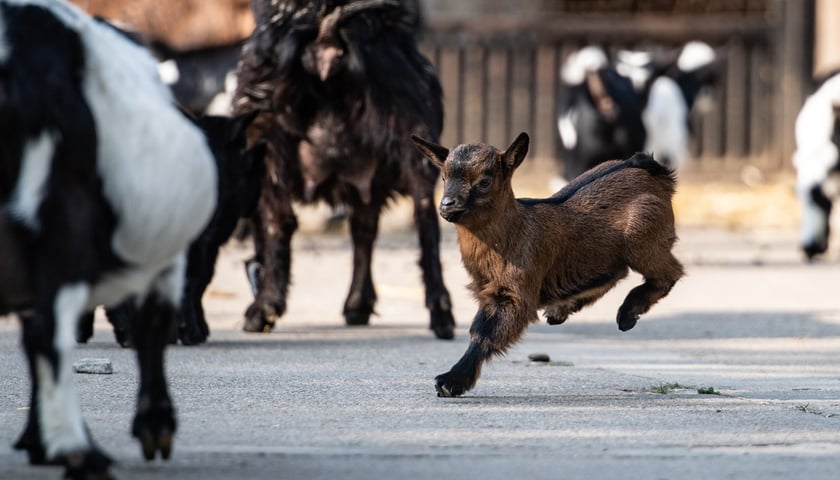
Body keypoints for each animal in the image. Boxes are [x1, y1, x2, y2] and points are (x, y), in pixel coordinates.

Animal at [0, 2, 220, 476]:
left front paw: (35, 440)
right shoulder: (167, 265)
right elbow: (152, 328)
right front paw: (155, 424)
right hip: (66, 226)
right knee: (49, 333)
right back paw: (80, 450)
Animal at [233, 0, 456, 338]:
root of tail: (326, 39)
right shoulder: (368, 182)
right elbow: (364, 231)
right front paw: (359, 303)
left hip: (263, 133)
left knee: (278, 222)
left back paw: (263, 308)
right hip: (410, 127)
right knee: (424, 217)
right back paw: (440, 311)